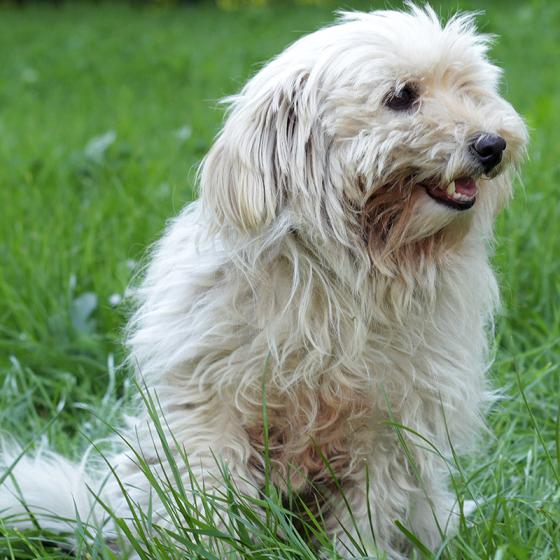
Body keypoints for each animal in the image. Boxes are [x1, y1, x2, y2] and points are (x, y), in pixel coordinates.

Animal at [0, 4, 527, 558]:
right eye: (402, 96)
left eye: (468, 88)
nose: (493, 144)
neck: (343, 274)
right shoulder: (211, 406)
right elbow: (210, 496)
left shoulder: (391, 425)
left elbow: (366, 515)